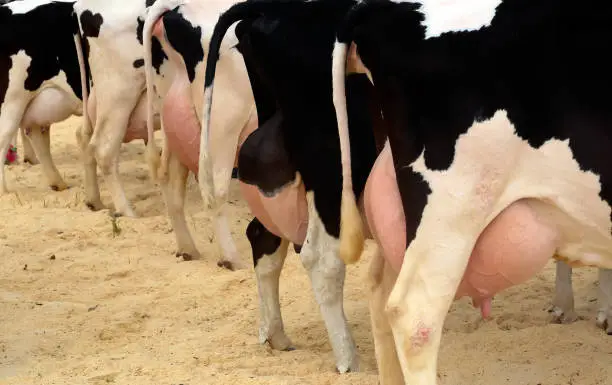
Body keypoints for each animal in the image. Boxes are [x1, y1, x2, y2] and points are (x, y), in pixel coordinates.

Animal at [141, 0, 249, 266]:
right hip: (223, 123)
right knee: (213, 190)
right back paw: (232, 260)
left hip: (172, 116)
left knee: (170, 181)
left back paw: (188, 249)